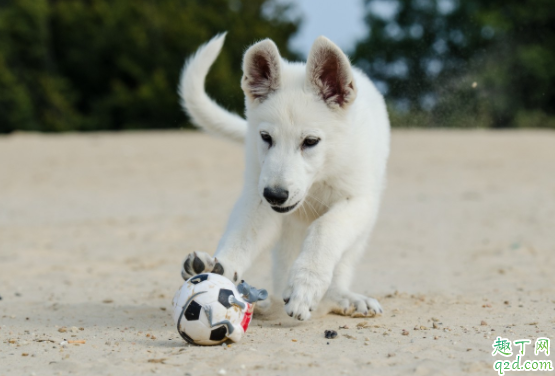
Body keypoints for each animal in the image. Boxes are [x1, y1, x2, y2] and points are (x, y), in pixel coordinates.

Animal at [178, 33, 390, 320]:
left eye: (310, 141)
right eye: (266, 137)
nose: (275, 195)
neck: (322, 174)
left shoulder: (357, 200)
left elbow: (325, 229)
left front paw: (306, 285)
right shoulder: (258, 199)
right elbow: (240, 238)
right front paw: (219, 269)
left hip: (360, 231)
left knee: (341, 265)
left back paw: (342, 297)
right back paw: (262, 301)